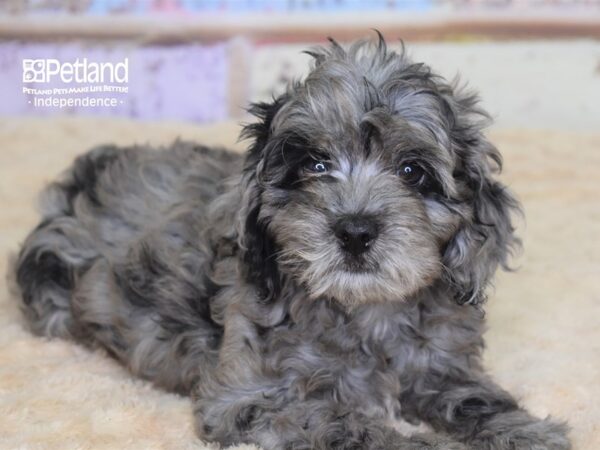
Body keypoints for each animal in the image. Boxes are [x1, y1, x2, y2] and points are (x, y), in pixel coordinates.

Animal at [11, 37, 568, 448]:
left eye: (413, 172)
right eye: (315, 164)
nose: (355, 231)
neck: (365, 311)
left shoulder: (440, 366)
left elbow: (475, 397)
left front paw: (525, 430)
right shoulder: (252, 397)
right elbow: (349, 425)